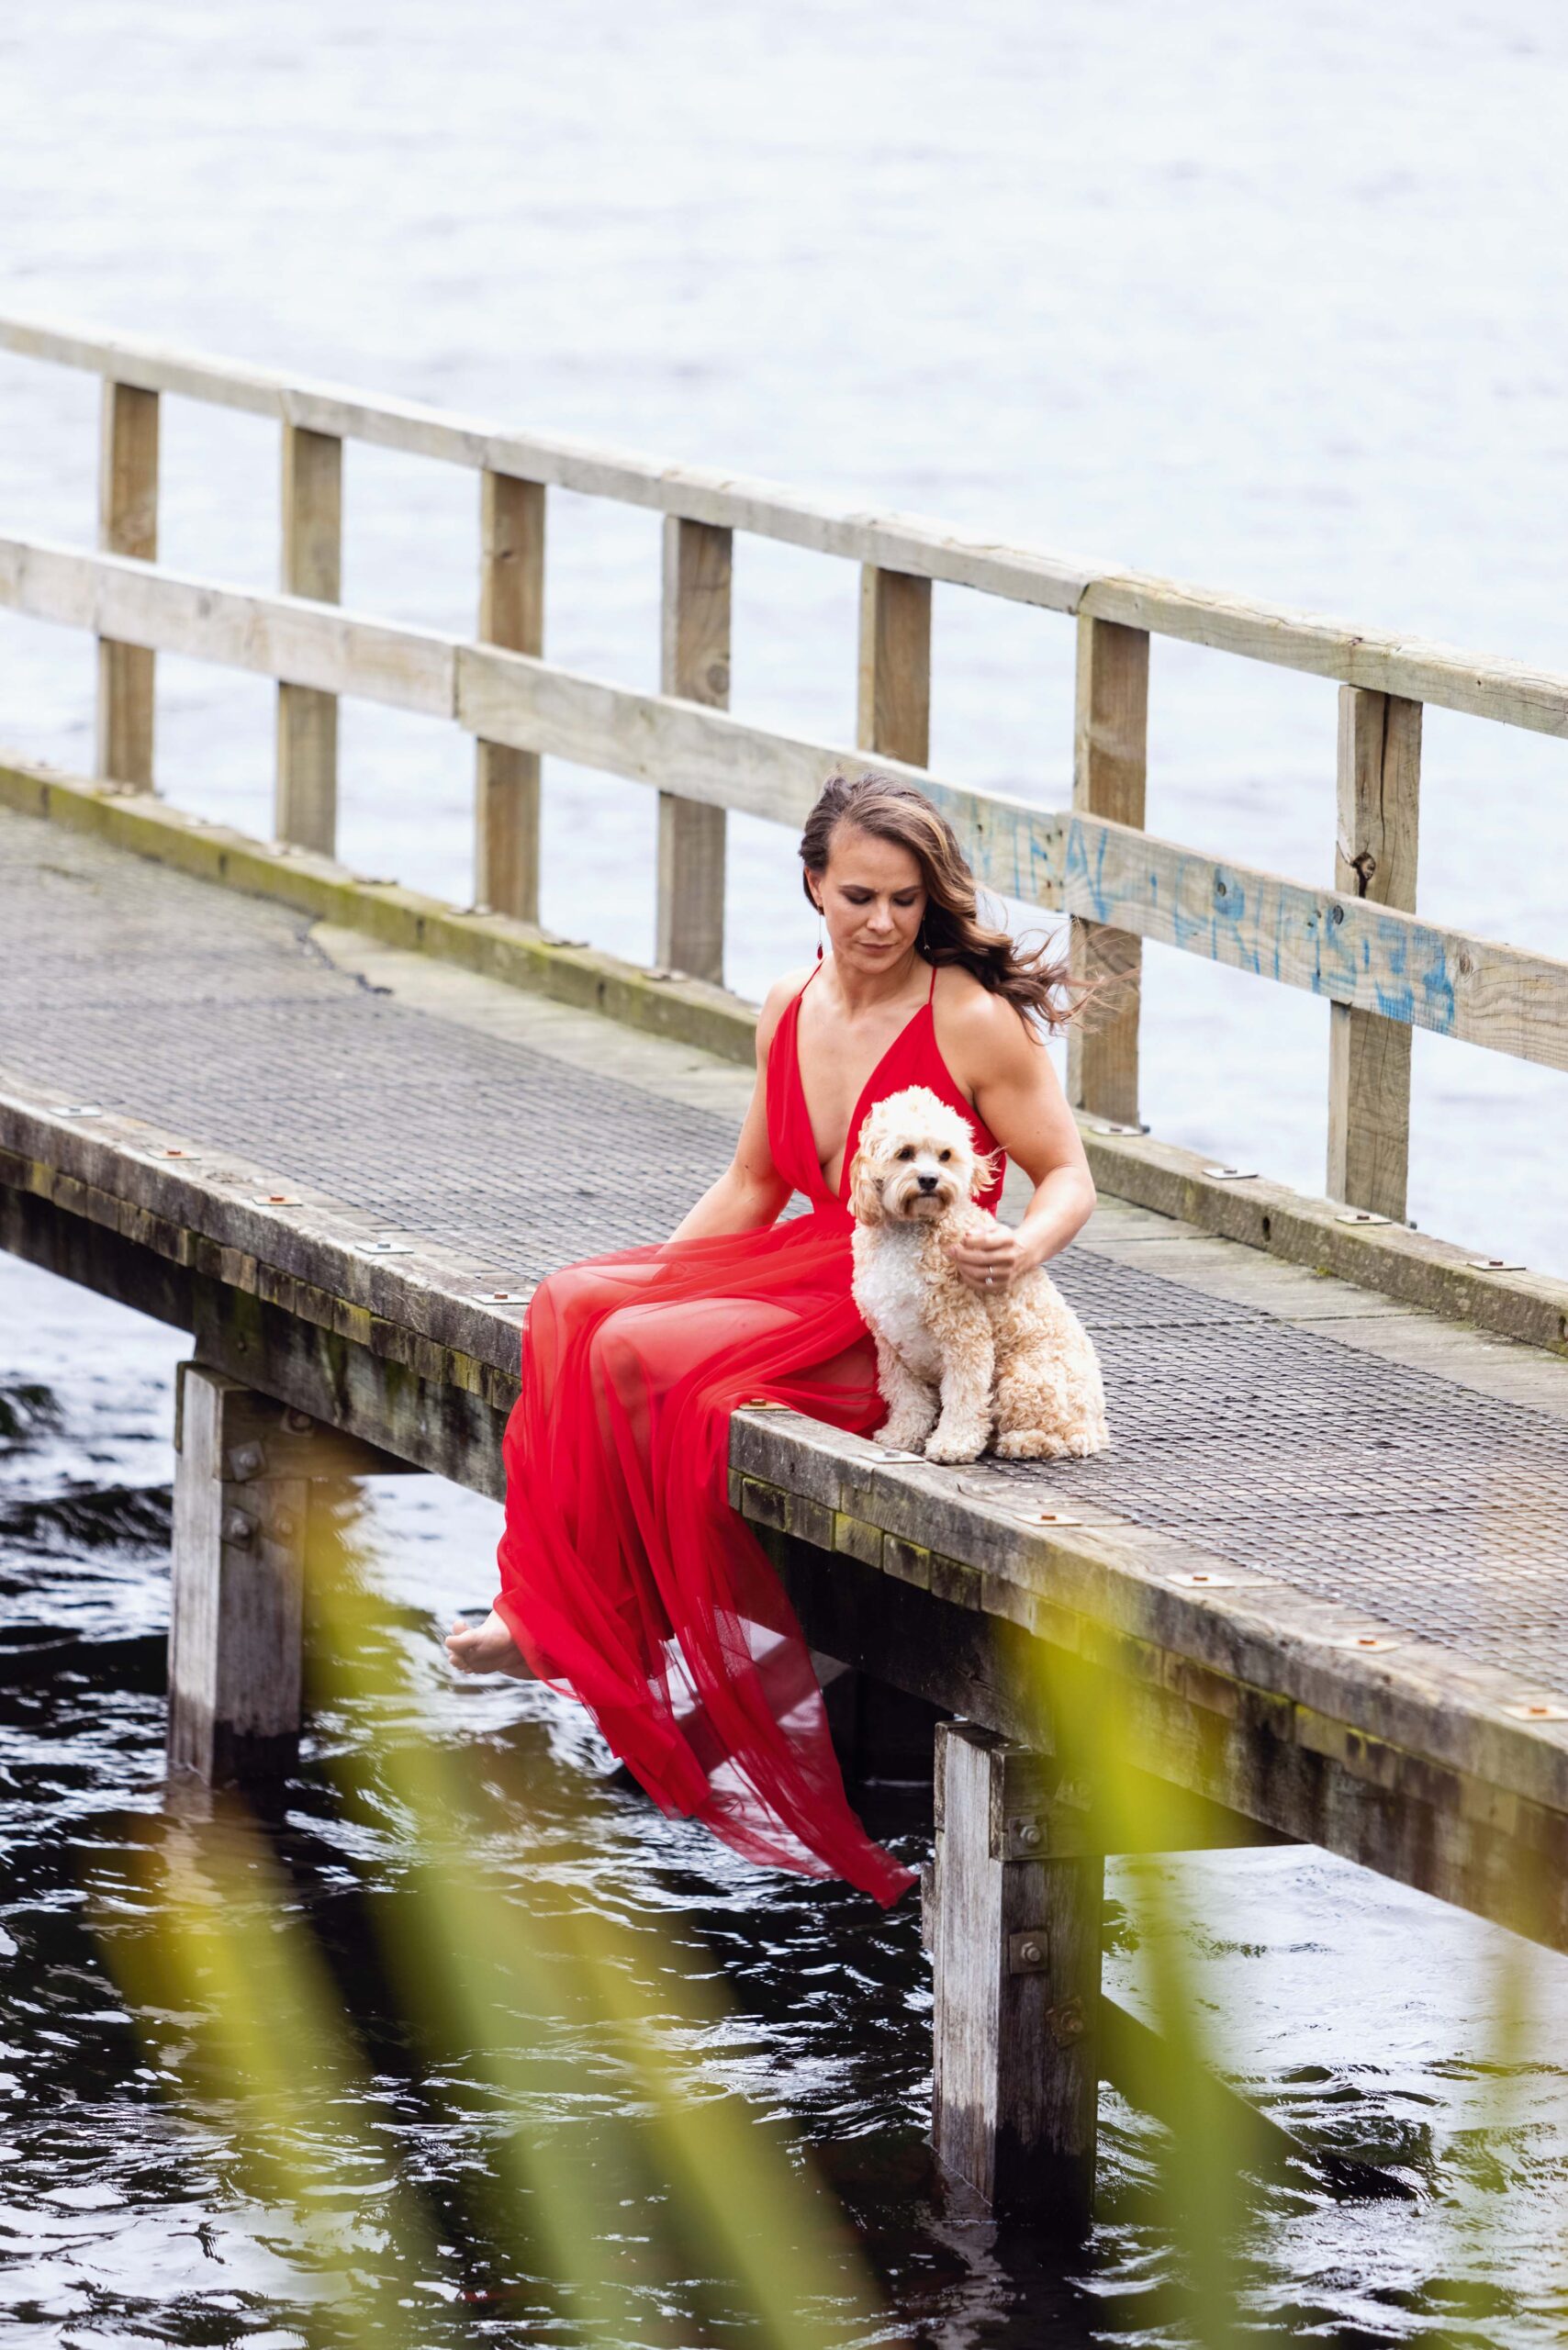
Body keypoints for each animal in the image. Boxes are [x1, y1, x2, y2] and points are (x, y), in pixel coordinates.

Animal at [846, 1085, 1114, 1457]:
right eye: (905, 1153)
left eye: (945, 1155)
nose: (929, 1179)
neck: (910, 1231)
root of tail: (1098, 1419)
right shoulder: (891, 1344)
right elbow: (908, 1399)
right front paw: (902, 1435)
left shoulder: (965, 1335)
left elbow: (964, 1397)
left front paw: (953, 1444)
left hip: (1024, 1379)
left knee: (1070, 1437)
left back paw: (1022, 1442)